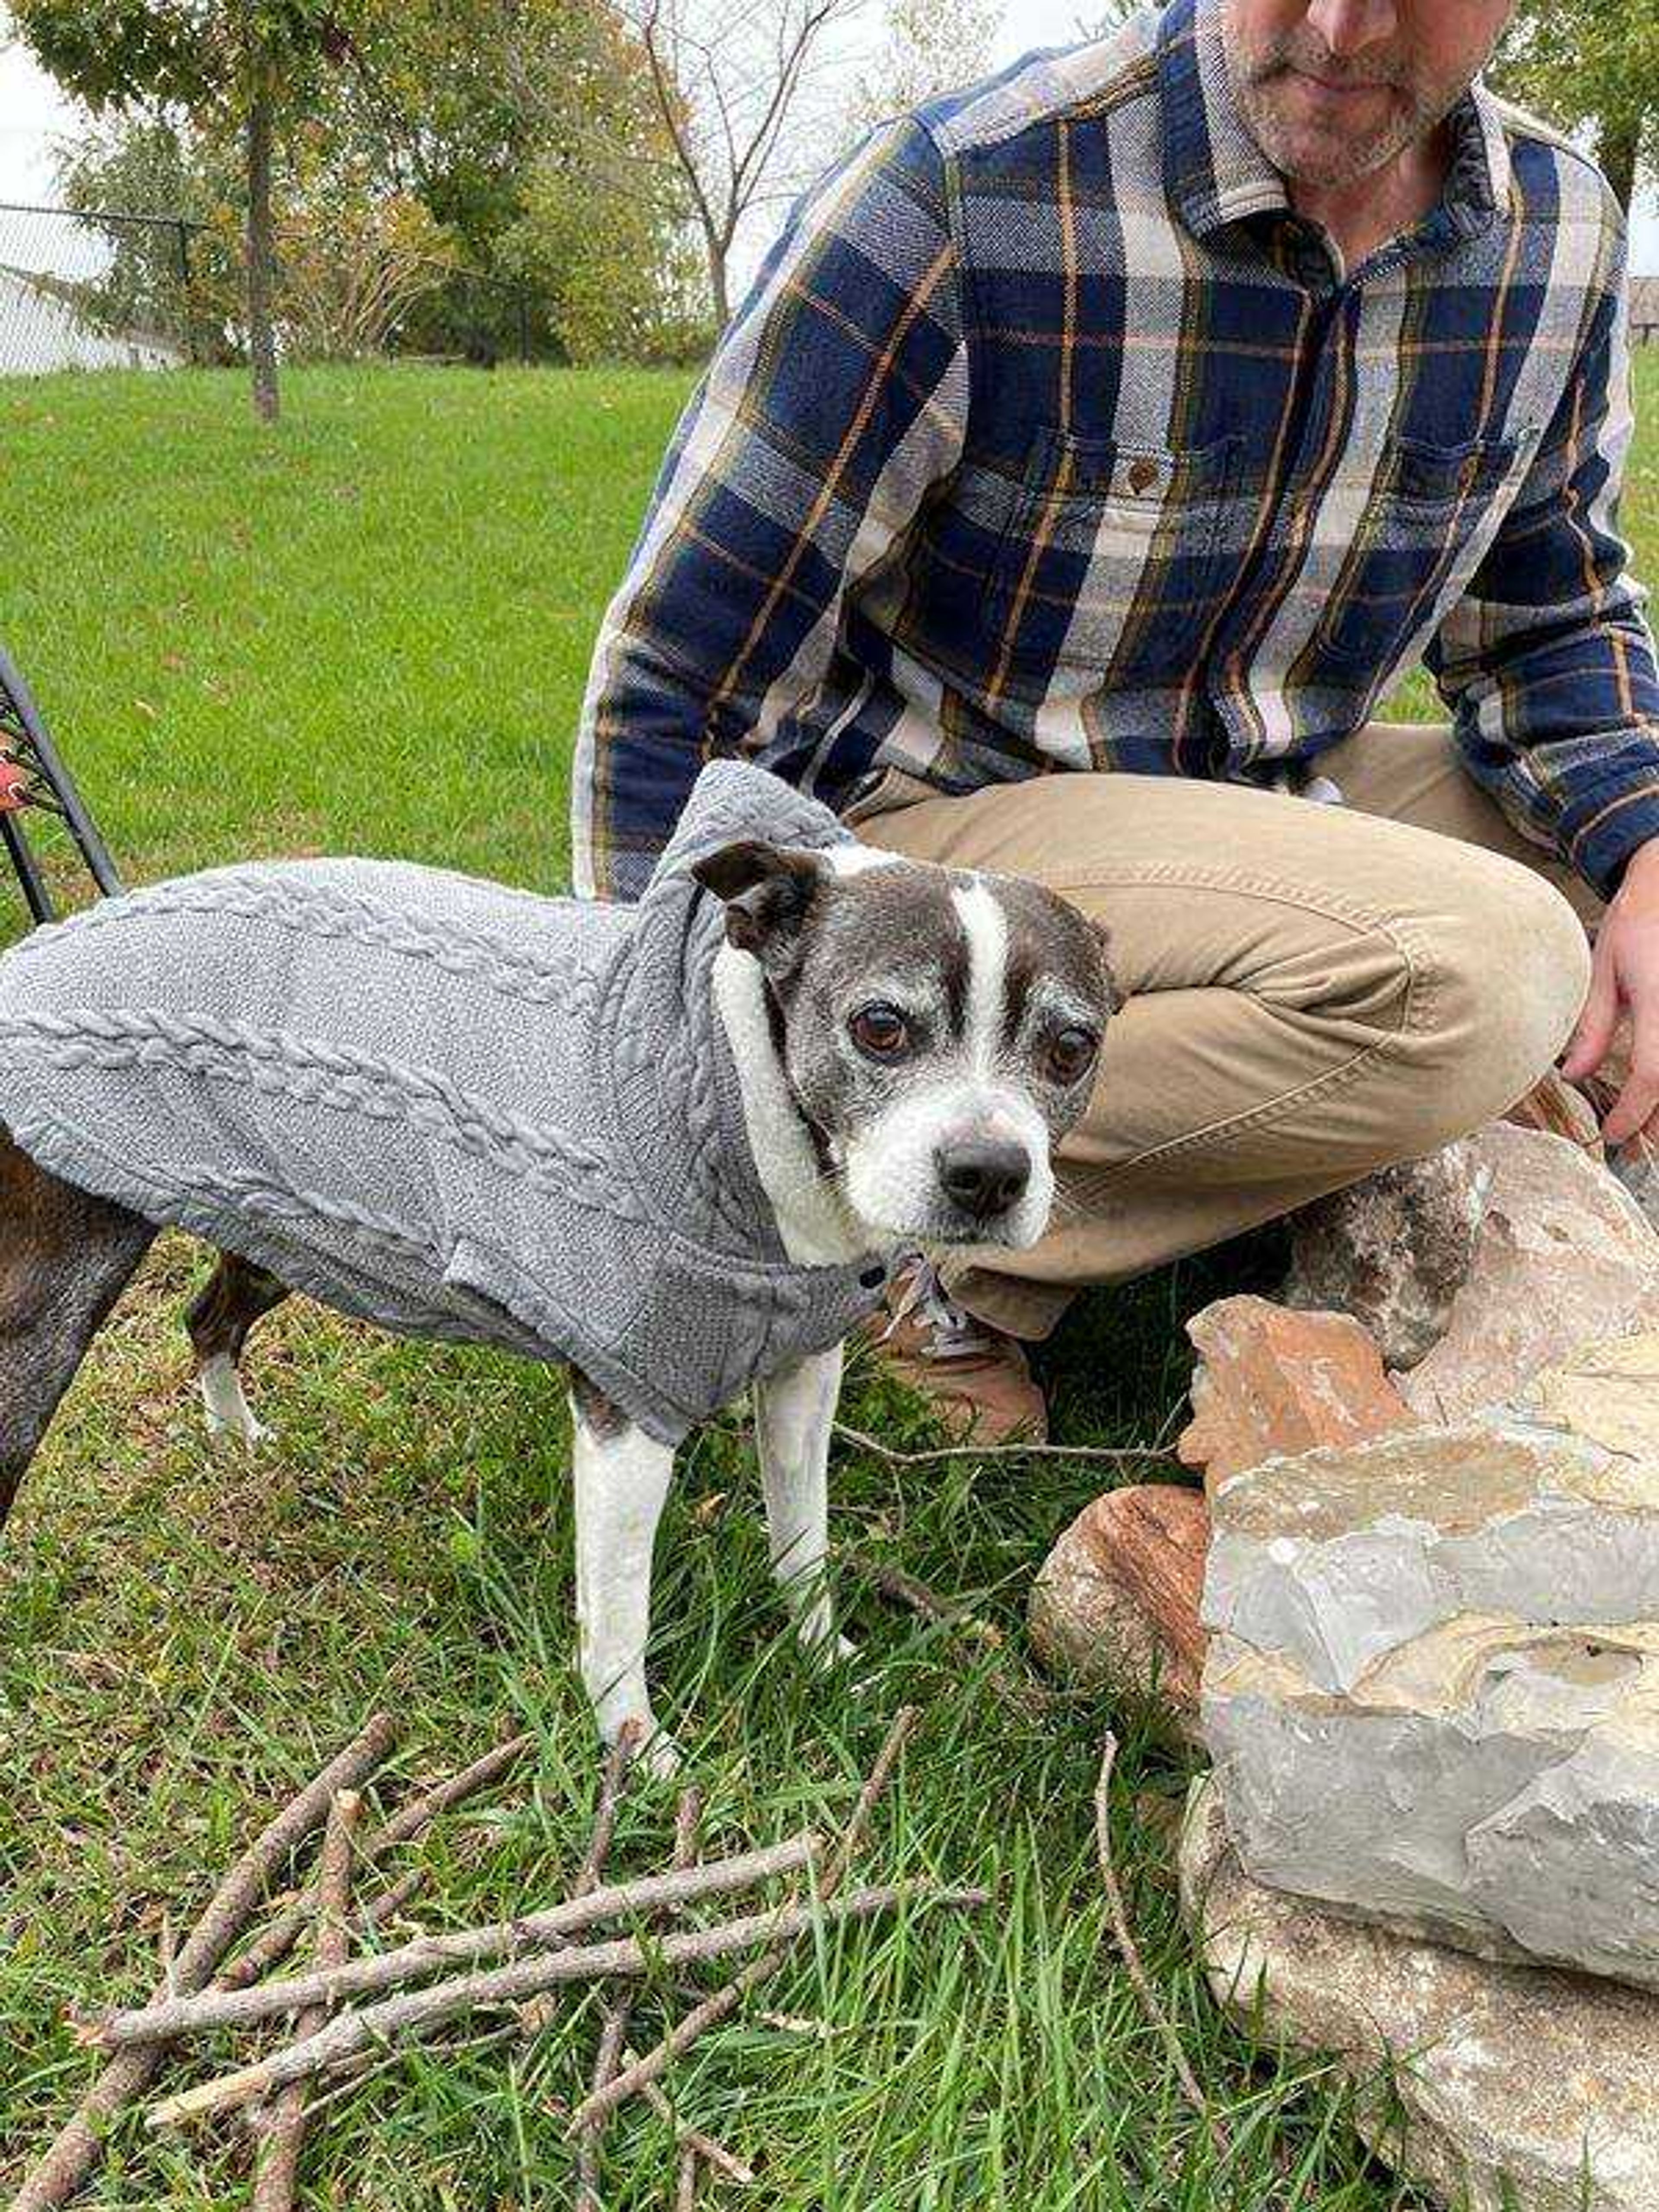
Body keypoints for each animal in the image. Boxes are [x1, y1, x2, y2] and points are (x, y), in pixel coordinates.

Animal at [0, 769, 1123, 1770]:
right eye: (880, 1027)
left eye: (1072, 1047)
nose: (988, 1171)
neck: (737, 1096)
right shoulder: (628, 1416)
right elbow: (616, 1614)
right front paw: (640, 1755)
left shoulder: (804, 1372)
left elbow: (801, 1542)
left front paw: (828, 1663)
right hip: (49, 1307)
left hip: (276, 1218)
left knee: (206, 1318)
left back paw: (238, 1441)